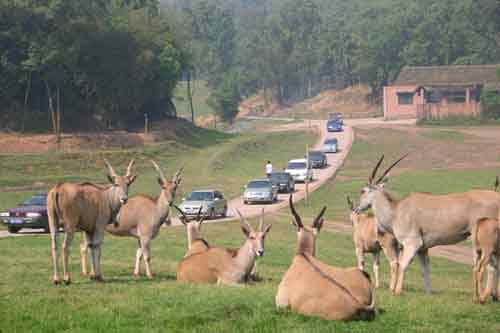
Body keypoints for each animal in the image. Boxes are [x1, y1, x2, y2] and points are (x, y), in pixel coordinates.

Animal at [358, 154, 500, 294]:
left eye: (363, 190)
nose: (357, 208)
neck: (396, 211)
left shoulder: (412, 243)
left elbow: (402, 265)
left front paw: (397, 291)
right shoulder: (423, 249)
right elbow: (425, 270)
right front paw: (428, 294)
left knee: (490, 267)